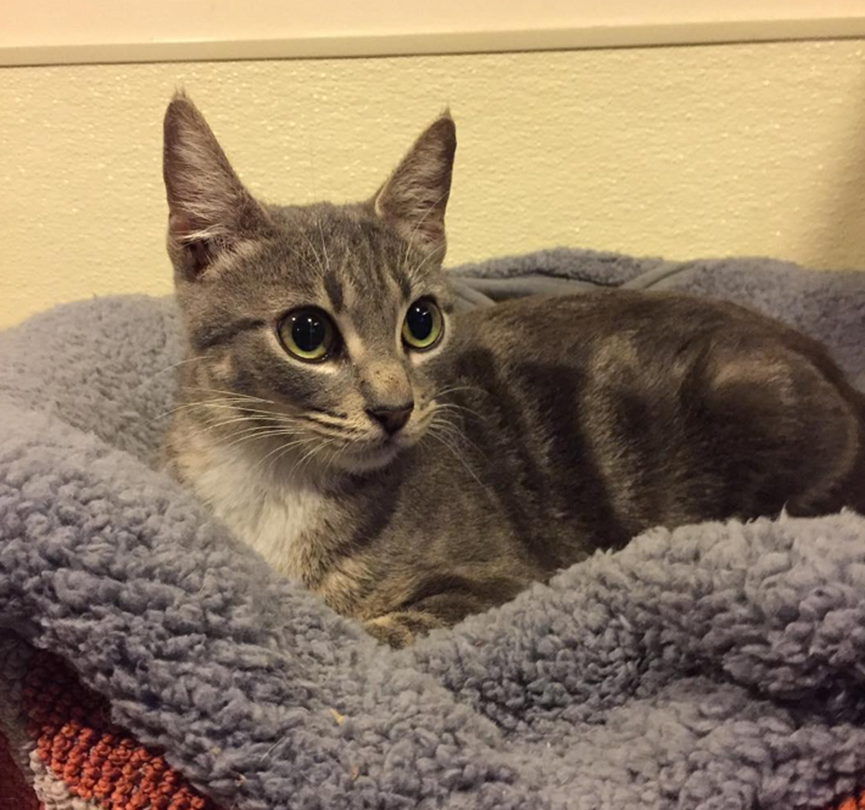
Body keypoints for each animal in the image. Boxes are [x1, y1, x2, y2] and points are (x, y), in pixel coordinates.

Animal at [162, 92, 865, 648]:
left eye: (420, 323)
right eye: (307, 334)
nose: (395, 409)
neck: (274, 481)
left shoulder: (500, 584)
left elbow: (370, 632)